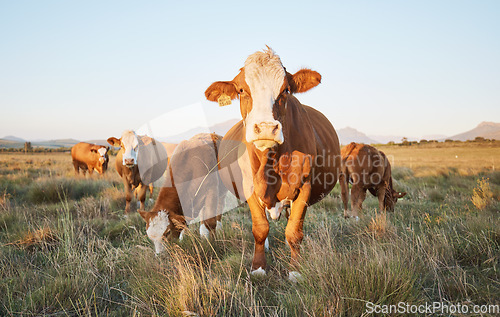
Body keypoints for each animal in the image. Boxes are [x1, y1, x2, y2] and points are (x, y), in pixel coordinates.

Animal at [203, 47, 340, 278]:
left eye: (286, 90)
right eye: (241, 90)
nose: (266, 128)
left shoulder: (304, 187)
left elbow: (294, 231)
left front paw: (295, 271)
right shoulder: (249, 188)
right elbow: (260, 229)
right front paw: (258, 268)